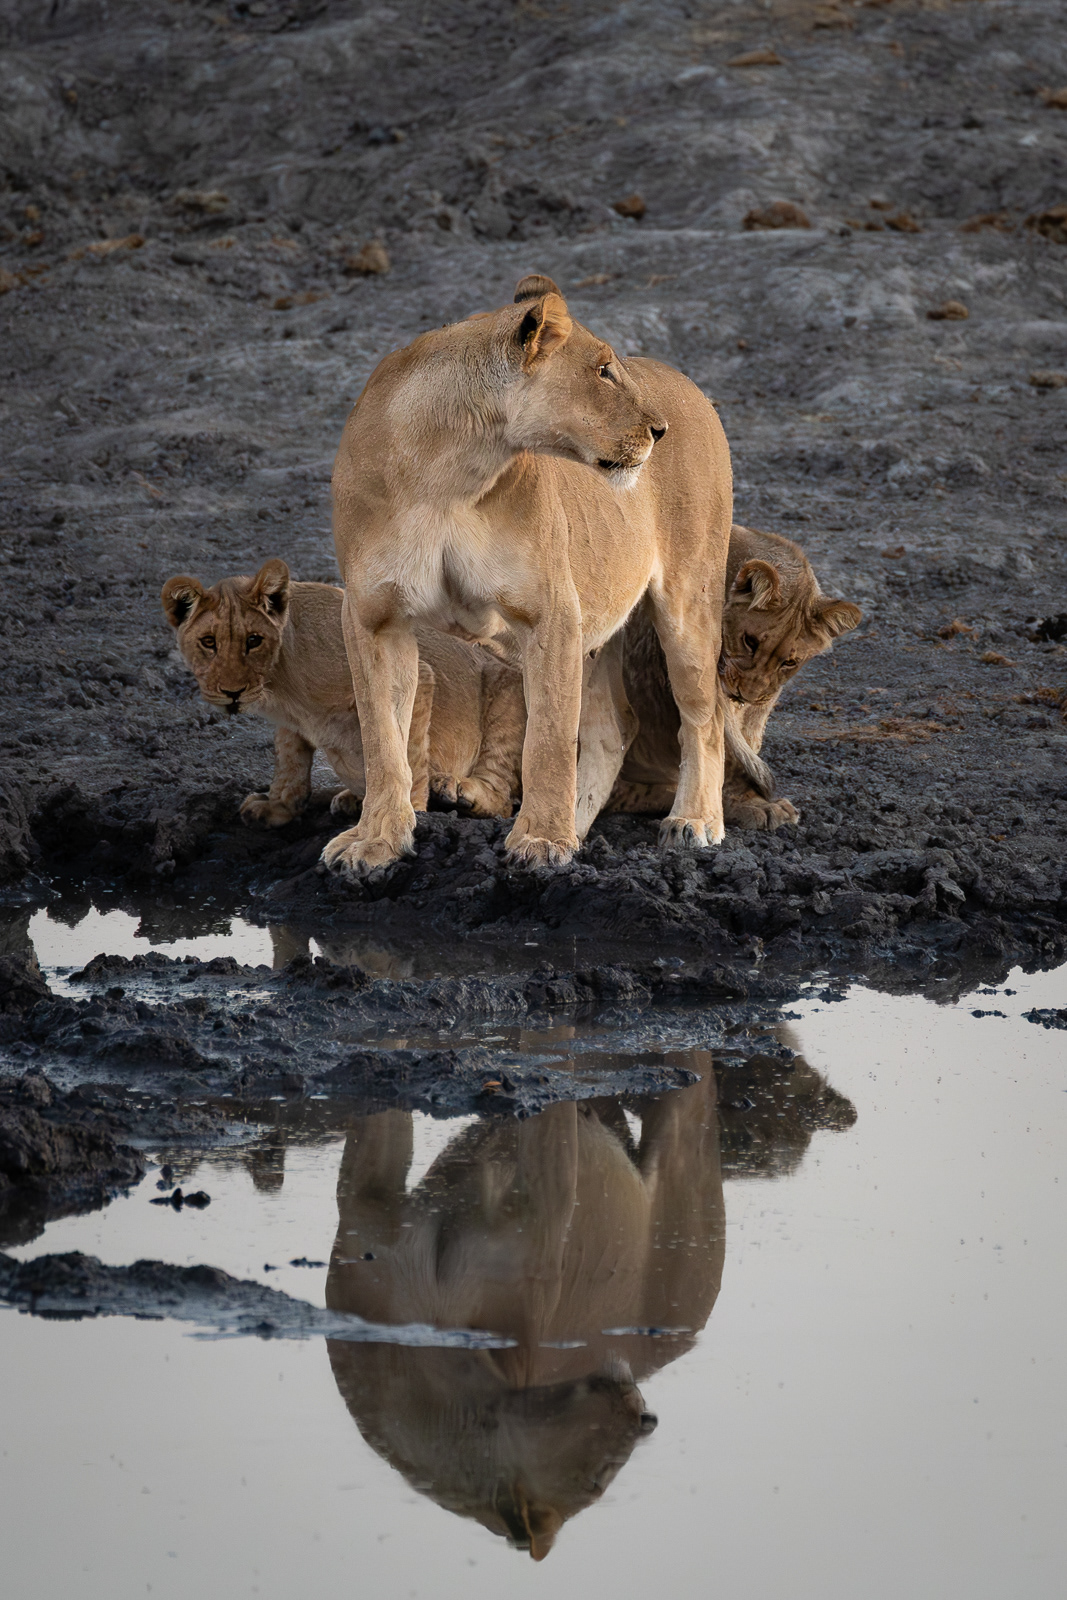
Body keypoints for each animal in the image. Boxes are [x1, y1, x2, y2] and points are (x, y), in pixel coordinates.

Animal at [161, 560, 524, 828]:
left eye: (253, 640)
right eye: (209, 642)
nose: (231, 692)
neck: (279, 683)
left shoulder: (410, 676)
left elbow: (407, 752)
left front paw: (409, 815)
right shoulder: (291, 722)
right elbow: (289, 761)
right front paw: (277, 806)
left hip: (510, 693)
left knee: (504, 798)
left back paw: (457, 789)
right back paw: (353, 799)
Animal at [323, 271, 733, 880]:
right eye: (604, 370)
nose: (660, 430)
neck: (447, 473)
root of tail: (687, 385)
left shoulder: (551, 612)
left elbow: (548, 740)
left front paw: (540, 840)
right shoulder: (374, 616)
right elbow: (382, 740)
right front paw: (375, 841)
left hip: (689, 599)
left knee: (704, 715)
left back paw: (695, 821)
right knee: (615, 727)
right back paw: (580, 831)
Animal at [608, 525, 862, 830]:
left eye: (789, 662)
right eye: (750, 641)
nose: (746, 694)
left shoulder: (762, 701)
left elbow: (745, 745)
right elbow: (721, 748)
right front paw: (746, 804)